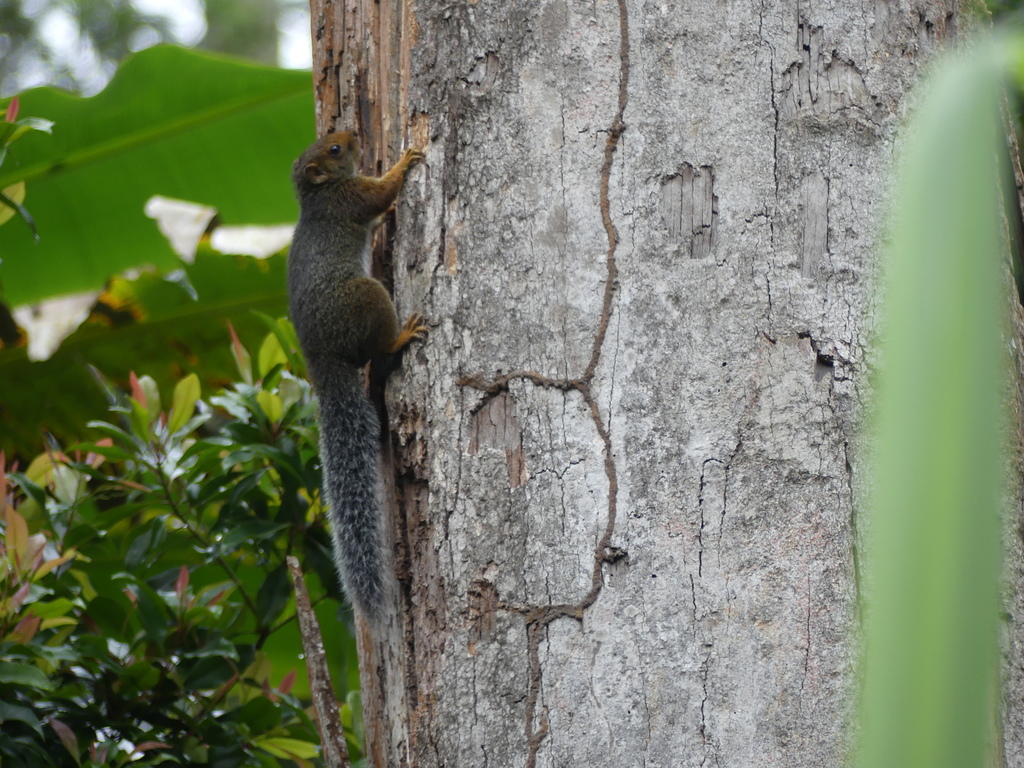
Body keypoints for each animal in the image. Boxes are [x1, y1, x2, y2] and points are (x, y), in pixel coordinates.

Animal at [287, 131, 427, 624]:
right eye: (333, 150)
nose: (350, 134)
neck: (317, 193)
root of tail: (321, 360)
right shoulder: (349, 198)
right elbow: (378, 195)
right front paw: (405, 161)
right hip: (365, 298)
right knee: (377, 348)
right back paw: (401, 334)